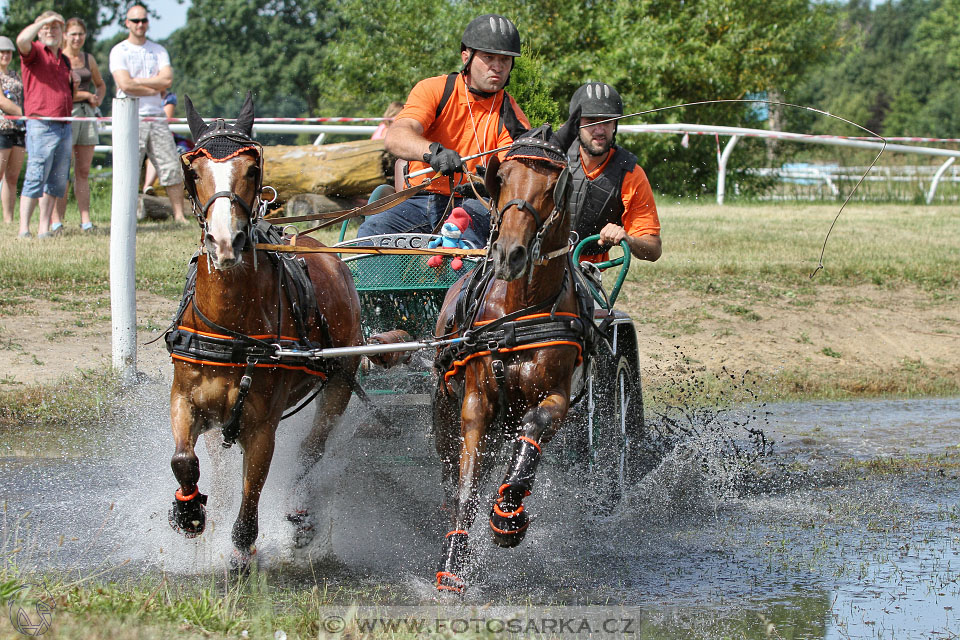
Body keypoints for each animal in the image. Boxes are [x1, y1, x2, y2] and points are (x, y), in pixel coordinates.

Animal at [167, 95, 362, 568]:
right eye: (193, 171)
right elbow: (183, 460)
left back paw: (299, 514)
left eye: (252, 168)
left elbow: (252, 490)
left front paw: (241, 548)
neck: (233, 325)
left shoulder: (261, 427)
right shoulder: (185, 400)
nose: (225, 242)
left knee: (311, 450)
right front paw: (189, 513)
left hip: (339, 387)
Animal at [434, 121, 584, 596]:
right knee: (451, 473)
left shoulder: (557, 397)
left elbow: (531, 435)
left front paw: (508, 515)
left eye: (556, 185)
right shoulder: (475, 402)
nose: (509, 254)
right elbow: (466, 485)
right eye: (501, 176)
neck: (519, 312)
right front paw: (454, 560)